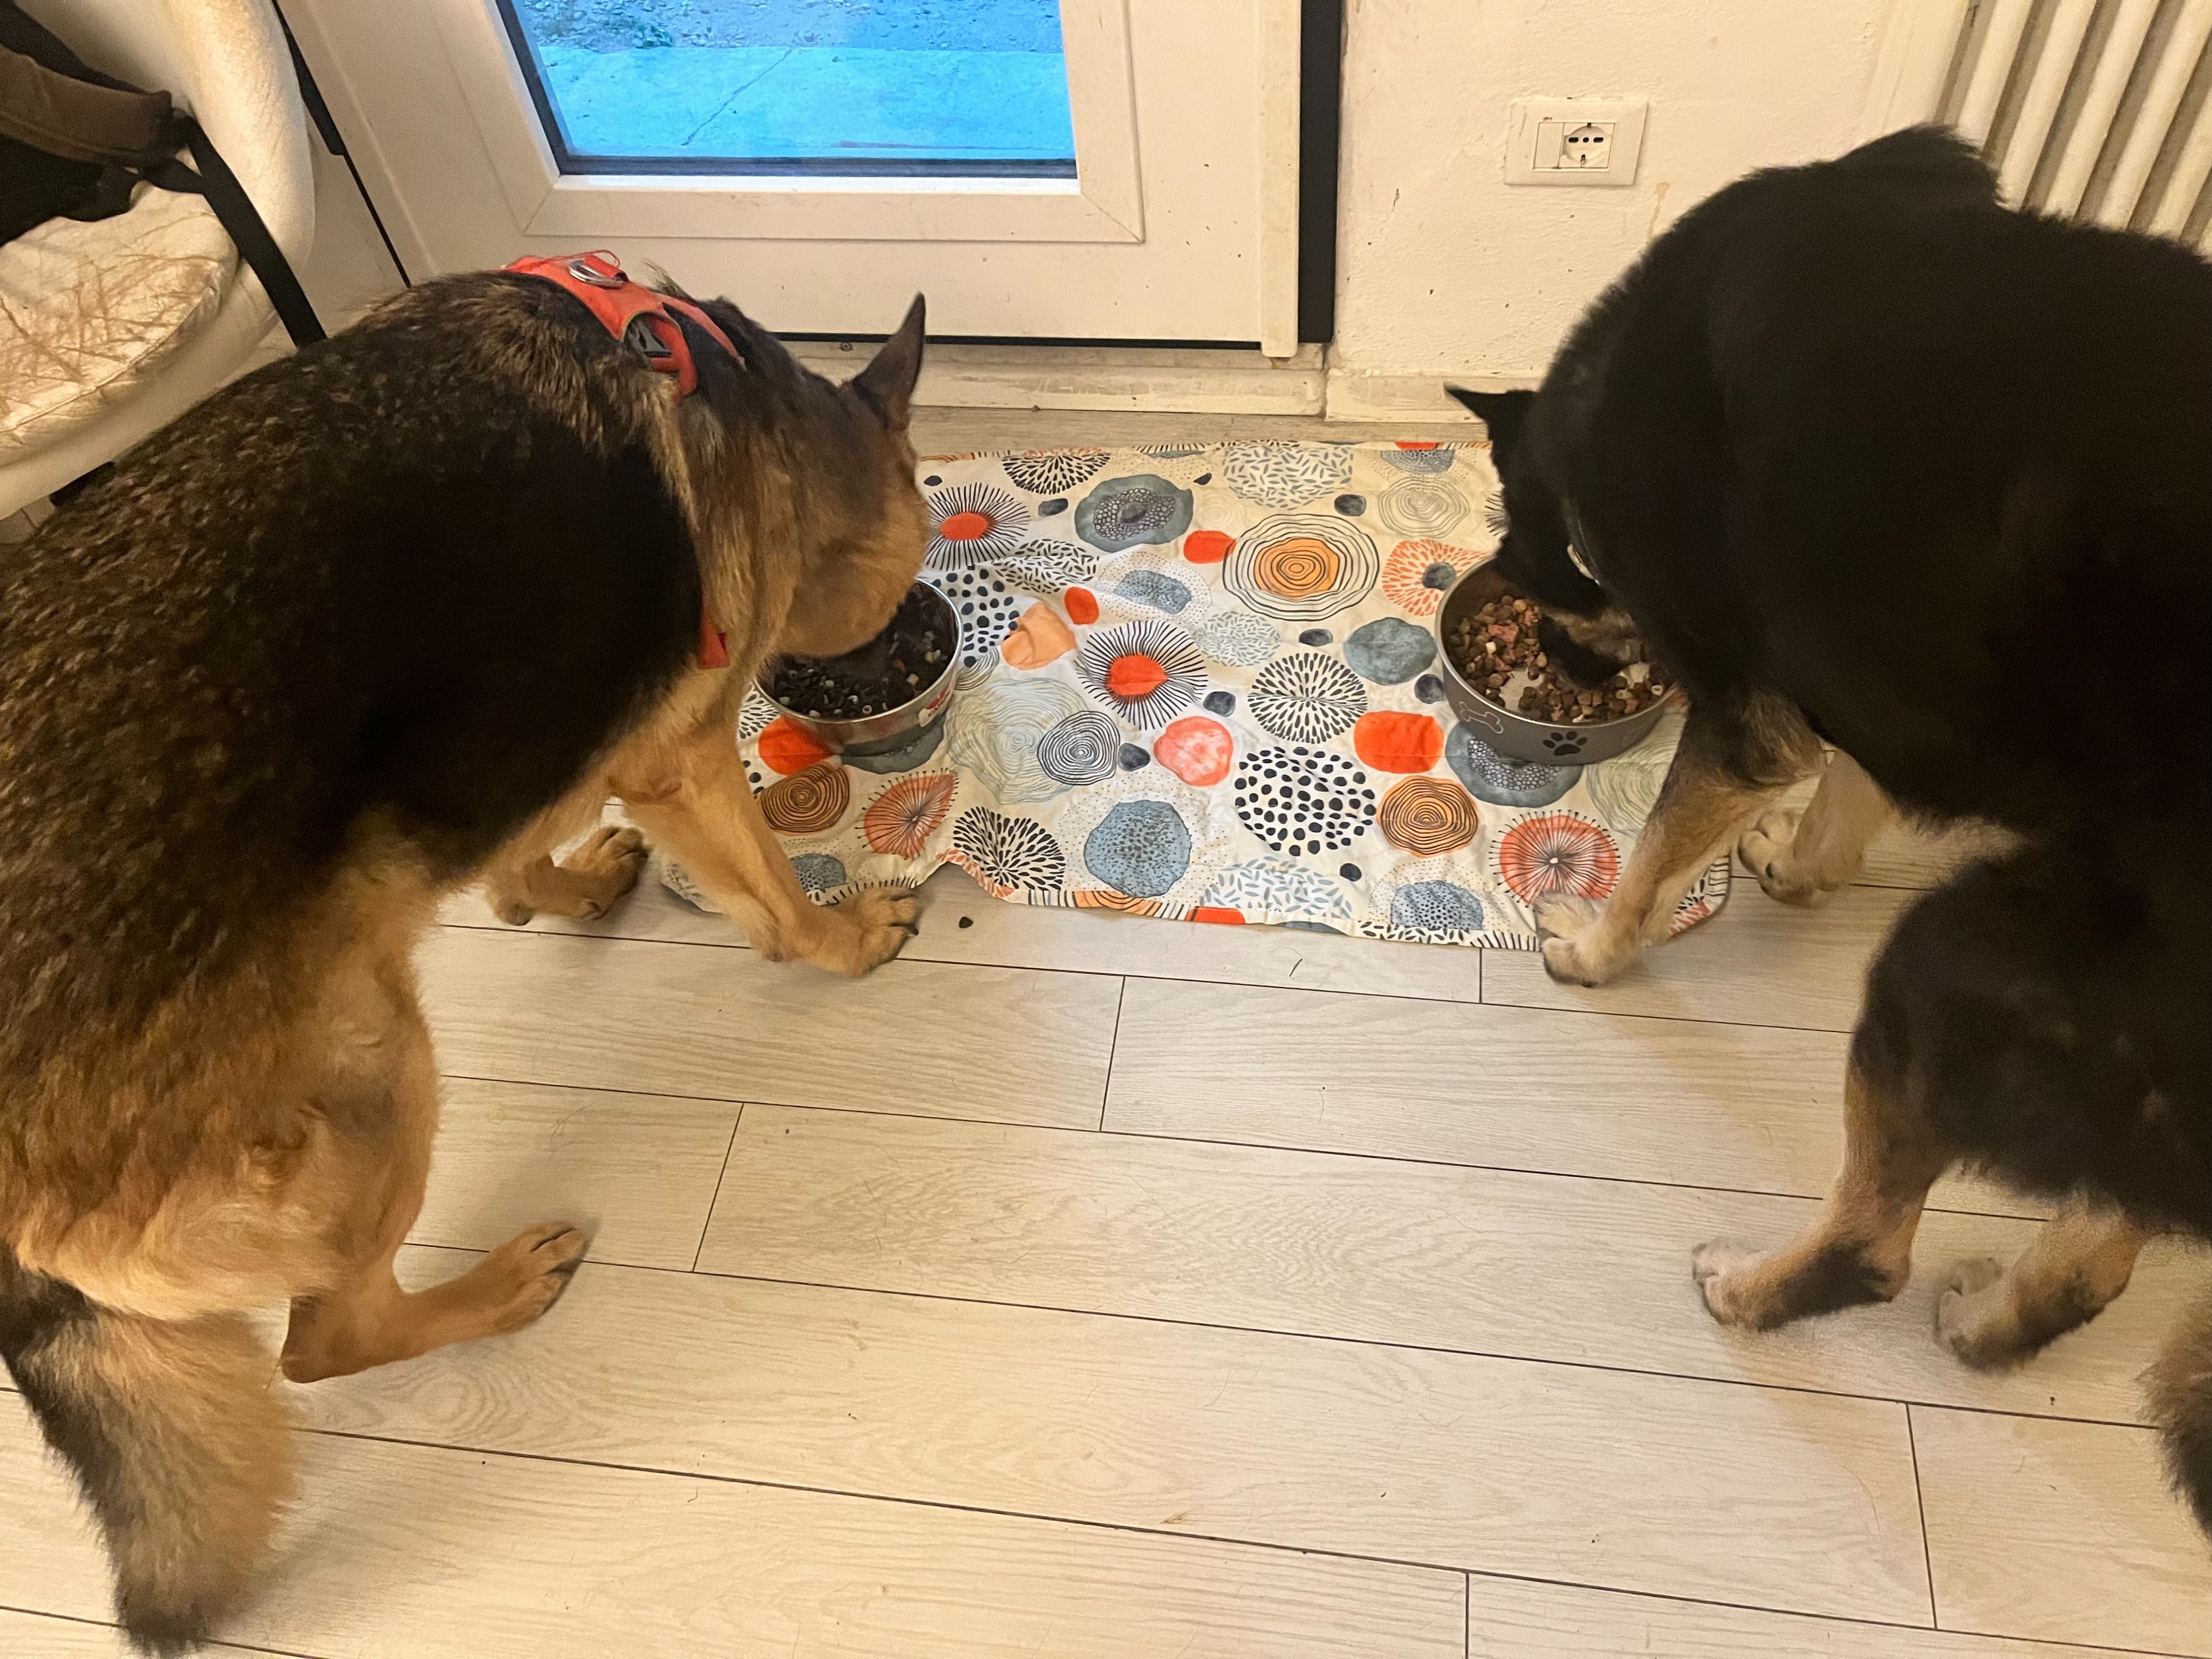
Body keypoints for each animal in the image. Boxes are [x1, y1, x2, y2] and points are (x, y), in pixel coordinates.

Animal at [0, 263, 928, 1650]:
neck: (746, 395)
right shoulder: (682, 756)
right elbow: (770, 897)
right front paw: (842, 937)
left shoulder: (512, 757)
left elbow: (508, 856)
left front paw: (558, 888)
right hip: (371, 1075)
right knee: (321, 1341)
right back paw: (493, 1292)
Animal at [1453, 127, 2212, 1526]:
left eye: (1549, 589)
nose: (1554, 666)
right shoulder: (1851, 660)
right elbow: (1846, 776)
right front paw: (1799, 863)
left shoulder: (1746, 699)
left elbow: (1661, 850)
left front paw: (1596, 948)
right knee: (2097, 1256)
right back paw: (1989, 1325)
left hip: (1958, 967)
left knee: (1871, 1246)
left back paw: (1745, 1290)